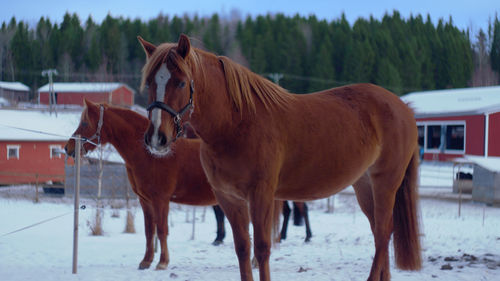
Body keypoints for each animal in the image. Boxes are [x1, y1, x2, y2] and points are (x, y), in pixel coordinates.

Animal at [138, 35, 422, 280]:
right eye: (150, 82)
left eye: (181, 82)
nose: (157, 138)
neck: (237, 125)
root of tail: (403, 108)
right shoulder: (229, 198)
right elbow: (243, 248)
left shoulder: (261, 194)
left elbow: (263, 248)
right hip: (364, 185)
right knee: (379, 232)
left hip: (385, 183)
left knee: (384, 232)